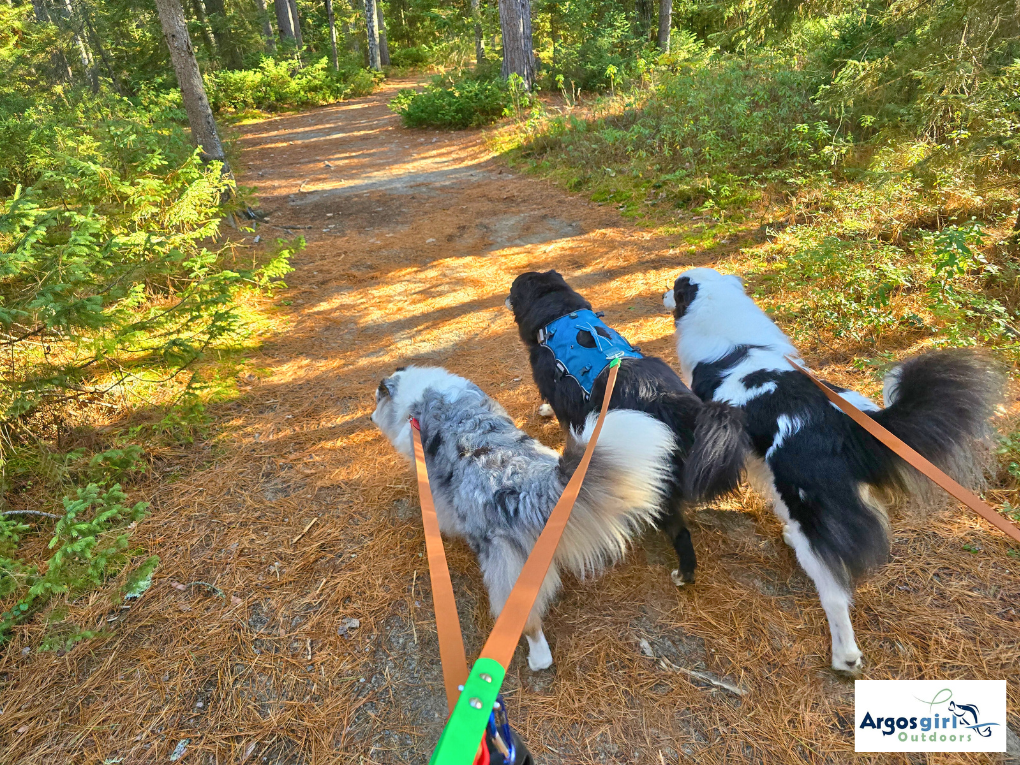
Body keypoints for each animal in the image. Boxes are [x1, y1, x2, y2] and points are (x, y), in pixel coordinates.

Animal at [371, 365, 673, 669]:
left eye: (376, 400)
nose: (370, 417)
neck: (417, 396)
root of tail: (526, 483)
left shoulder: (432, 476)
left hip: (503, 561)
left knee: (526, 622)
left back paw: (537, 658)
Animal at [507, 273, 750, 591]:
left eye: (513, 288)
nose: (505, 297)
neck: (558, 312)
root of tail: (674, 403)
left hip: (659, 488)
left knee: (680, 532)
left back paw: (683, 573)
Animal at [665, 267, 999, 669]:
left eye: (675, 288)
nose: (663, 296)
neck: (733, 335)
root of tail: (849, 428)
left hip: (812, 518)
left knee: (835, 593)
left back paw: (845, 657)